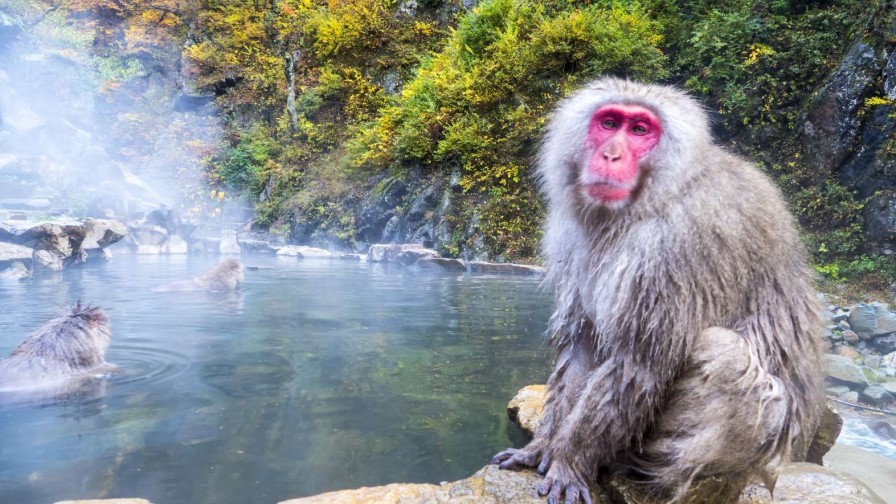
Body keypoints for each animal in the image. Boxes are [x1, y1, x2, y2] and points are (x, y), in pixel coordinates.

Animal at [494, 79, 824, 504]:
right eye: (609, 122)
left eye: (639, 130)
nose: (611, 154)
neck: (651, 198)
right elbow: (583, 344)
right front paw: (541, 447)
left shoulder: (678, 244)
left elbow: (640, 363)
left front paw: (570, 460)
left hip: (764, 447)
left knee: (723, 352)